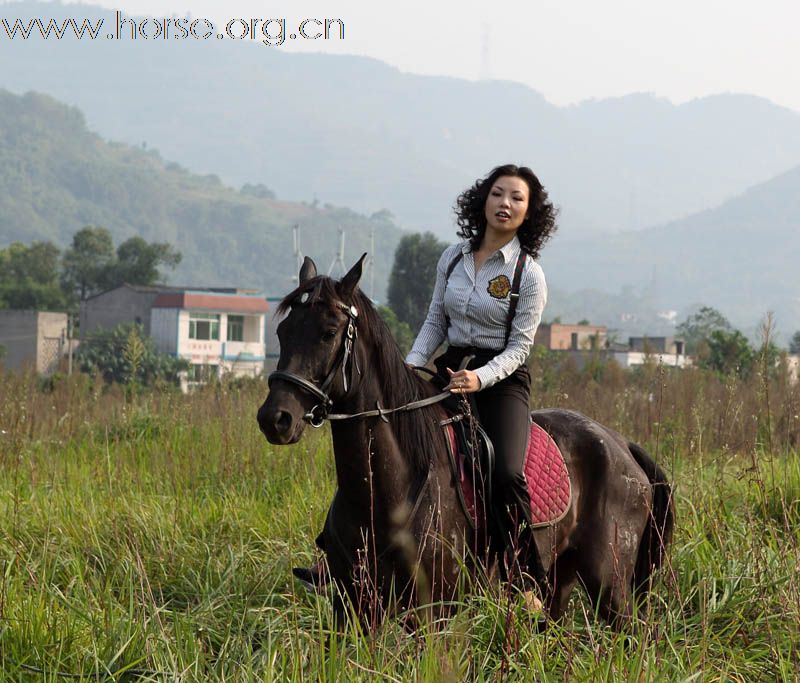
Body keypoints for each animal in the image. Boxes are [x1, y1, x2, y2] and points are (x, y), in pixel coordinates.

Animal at [260, 258, 672, 632]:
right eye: (282, 331)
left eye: (329, 333)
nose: (275, 418)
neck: (384, 491)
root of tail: (622, 445)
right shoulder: (353, 607)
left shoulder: (433, 610)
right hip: (562, 578)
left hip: (609, 584)